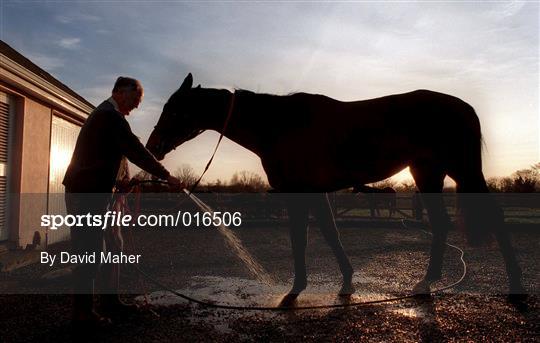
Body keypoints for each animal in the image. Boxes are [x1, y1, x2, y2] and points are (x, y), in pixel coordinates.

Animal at [147, 74, 524, 298]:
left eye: (174, 109)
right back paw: (426, 282)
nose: (152, 146)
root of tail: (464, 106)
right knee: (442, 223)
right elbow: (329, 232)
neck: (279, 125)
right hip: (428, 173)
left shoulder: (299, 192)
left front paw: (295, 290)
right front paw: (345, 281)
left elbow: (301, 237)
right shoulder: (316, 192)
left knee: (493, 216)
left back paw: (516, 284)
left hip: (463, 172)